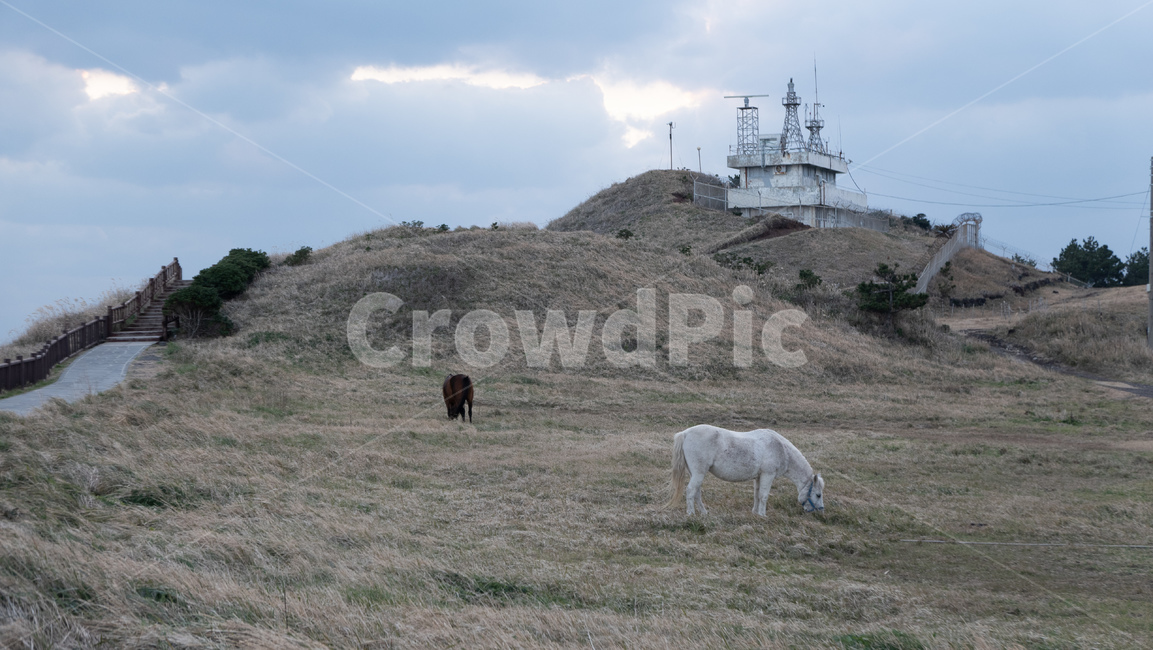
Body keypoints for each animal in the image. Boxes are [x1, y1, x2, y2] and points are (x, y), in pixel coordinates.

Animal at [669, 425, 824, 517]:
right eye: (818, 495)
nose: (820, 511)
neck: (780, 448)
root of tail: (685, 433)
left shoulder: (759, 477)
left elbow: (757, 495)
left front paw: (755, 513)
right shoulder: (768, 475)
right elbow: (764, 496)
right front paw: (763, 515)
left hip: (695, 474)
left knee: (696, 493)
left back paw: (703, 512)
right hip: (698, 473)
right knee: (691, 491)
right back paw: (691, 514)